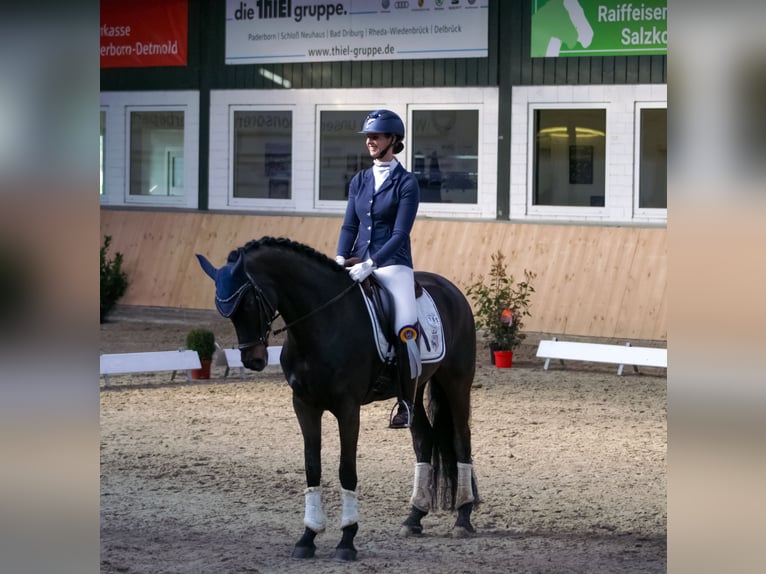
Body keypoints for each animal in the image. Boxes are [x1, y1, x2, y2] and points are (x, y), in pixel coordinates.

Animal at [195, 237, 476, 564]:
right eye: (225, 310)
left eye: (250, 302)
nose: (254, 360)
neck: (319, 323)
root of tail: (451, 289)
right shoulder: (304, 405)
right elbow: (312, 467)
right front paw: (307, 538)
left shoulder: (348, 409)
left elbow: (346, 471)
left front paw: (347, 541)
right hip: (414, 389)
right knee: (423, 440)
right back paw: (414, 517)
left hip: (456, 382)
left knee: (461, 441)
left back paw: (463, 518)